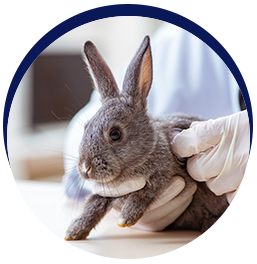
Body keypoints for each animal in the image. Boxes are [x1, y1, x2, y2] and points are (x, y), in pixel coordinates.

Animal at [64, 36, 228, 240]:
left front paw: (126, 218)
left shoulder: (164, 177)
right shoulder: (105, 193)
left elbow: (145, 193)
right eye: (85, 127)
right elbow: (93, 205)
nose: (85, 168)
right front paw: (74, 232)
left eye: (115, 134)